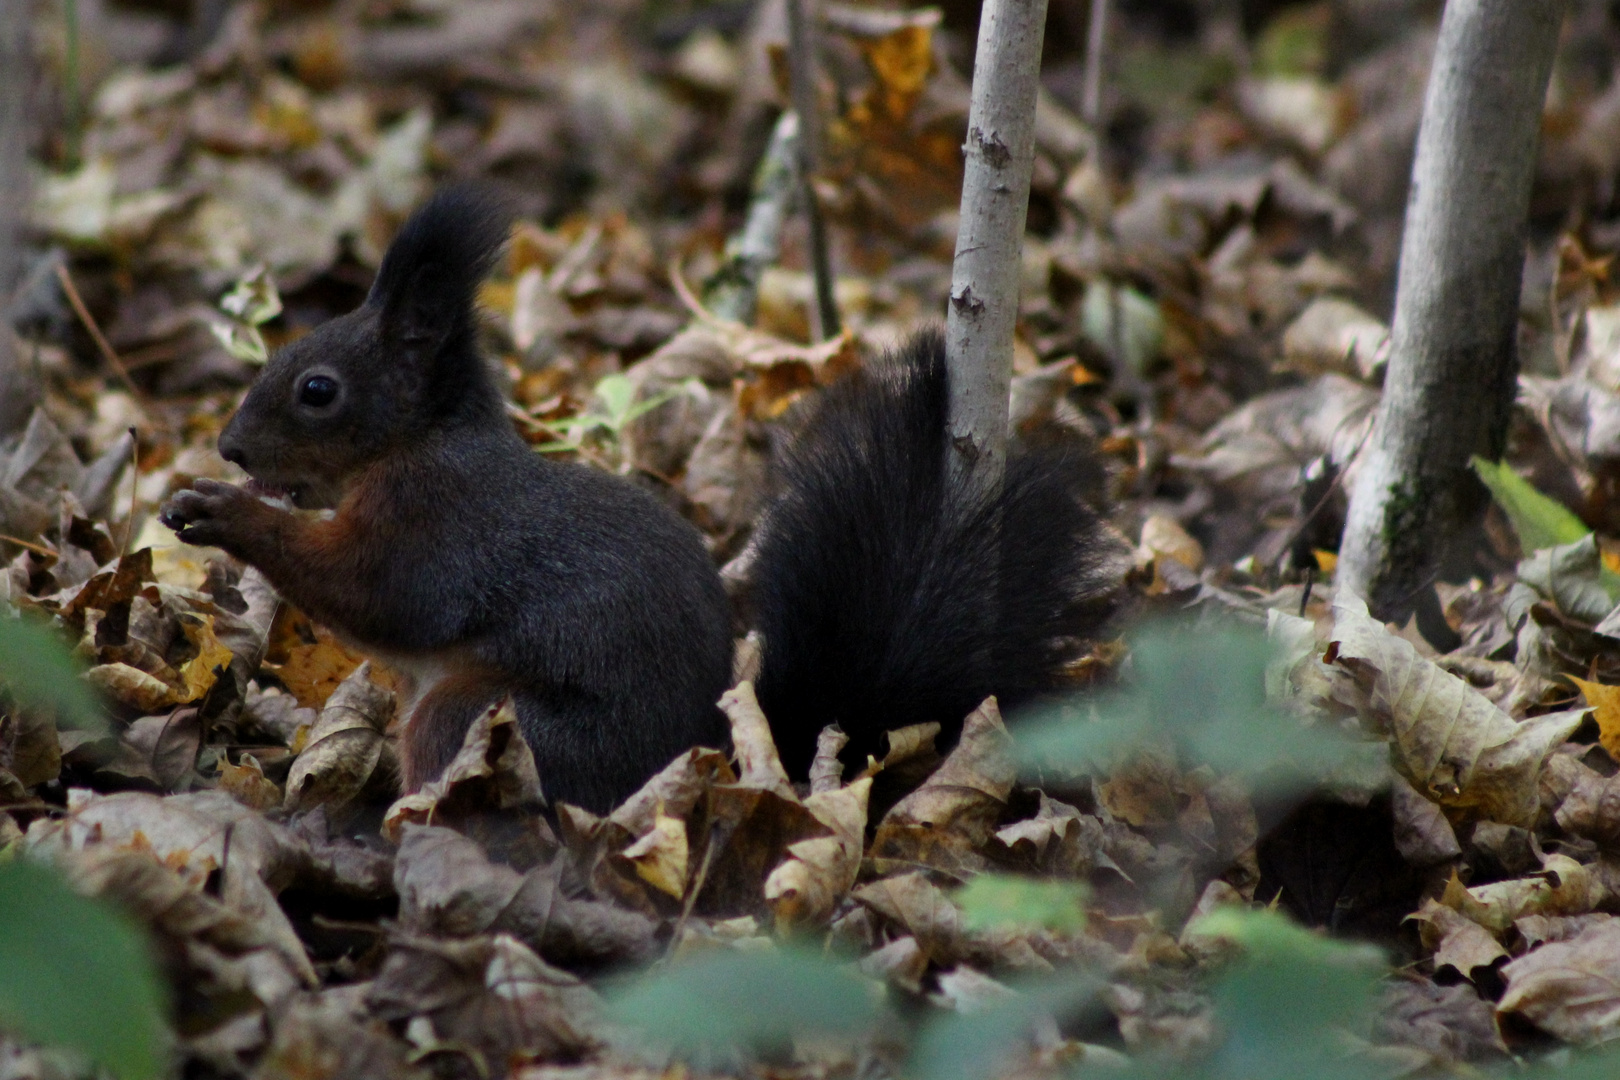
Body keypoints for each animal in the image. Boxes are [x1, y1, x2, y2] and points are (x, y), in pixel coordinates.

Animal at [167, 187, 1127, 809]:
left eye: (318, 390)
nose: (231, 445)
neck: (422, 441)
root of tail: (709, 758)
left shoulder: (441, 526)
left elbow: (377, 595)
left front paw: (220, 510)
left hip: (488, 717)